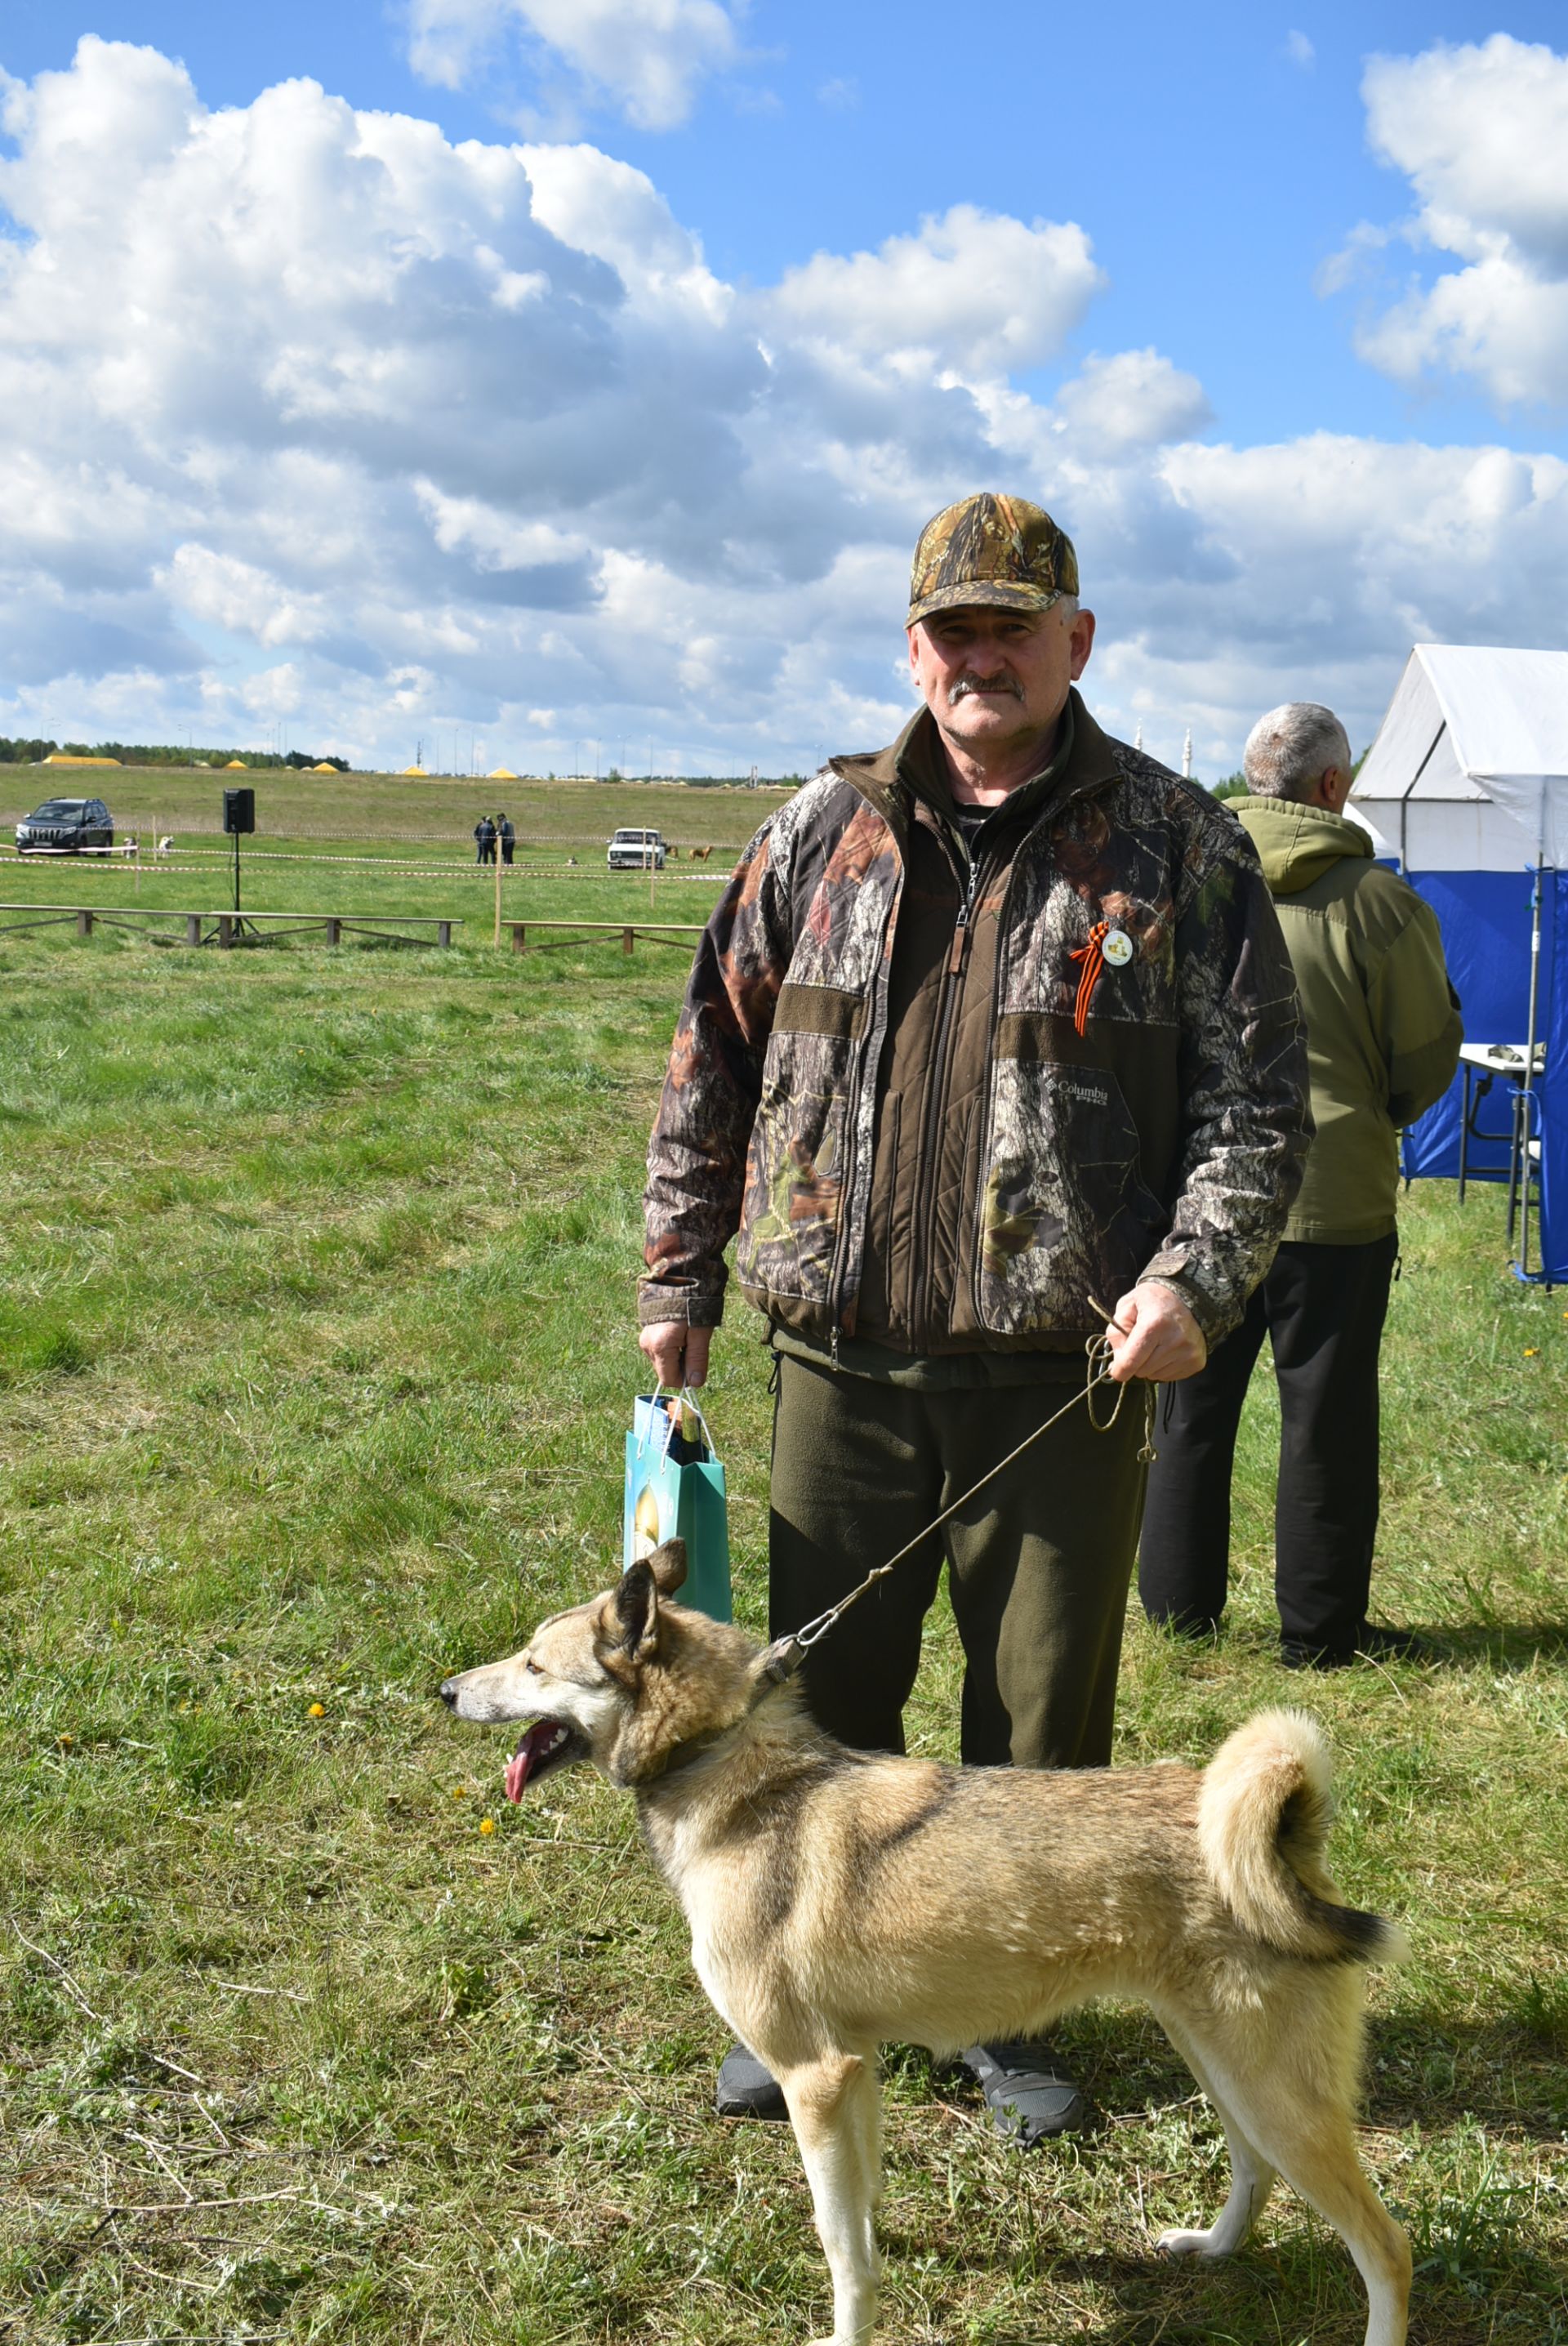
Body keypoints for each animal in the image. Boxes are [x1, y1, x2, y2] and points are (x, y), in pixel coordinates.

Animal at [438, 1539, 1405, 2346]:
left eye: (534, 1664)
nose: (445, 1690)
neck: (725, 1761)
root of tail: (1285, 1834)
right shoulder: (851, 2071)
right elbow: (858, 2217)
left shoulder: (814, 2078)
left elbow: (839, 2247)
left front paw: (845, 2336)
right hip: (1221, 2064)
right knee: (1256, 2173)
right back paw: (1213, 2246)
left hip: (1273, 2090)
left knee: (1383, 2249)